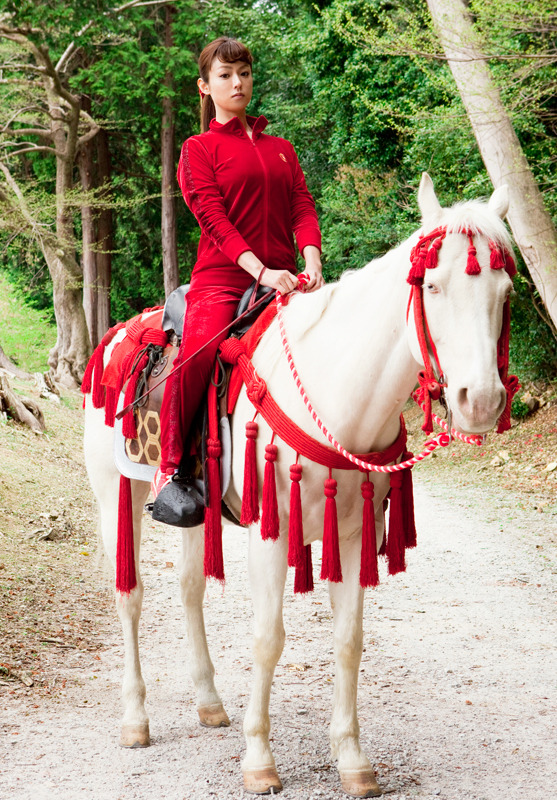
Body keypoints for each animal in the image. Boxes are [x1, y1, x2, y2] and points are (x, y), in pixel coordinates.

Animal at [82, 177, 512, 800]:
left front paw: (352, 759)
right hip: (115, 492)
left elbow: (349, 640)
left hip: (190, 510)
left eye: (505, 292)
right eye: (432, 286)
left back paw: (209, 702)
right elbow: (268, 638)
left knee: (189, 588)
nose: (480, 402)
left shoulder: (355, 535)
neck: (336, 394)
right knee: (131, 596)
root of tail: (116, 335)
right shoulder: (271, 533)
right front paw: (260, 760)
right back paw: (135, 718)